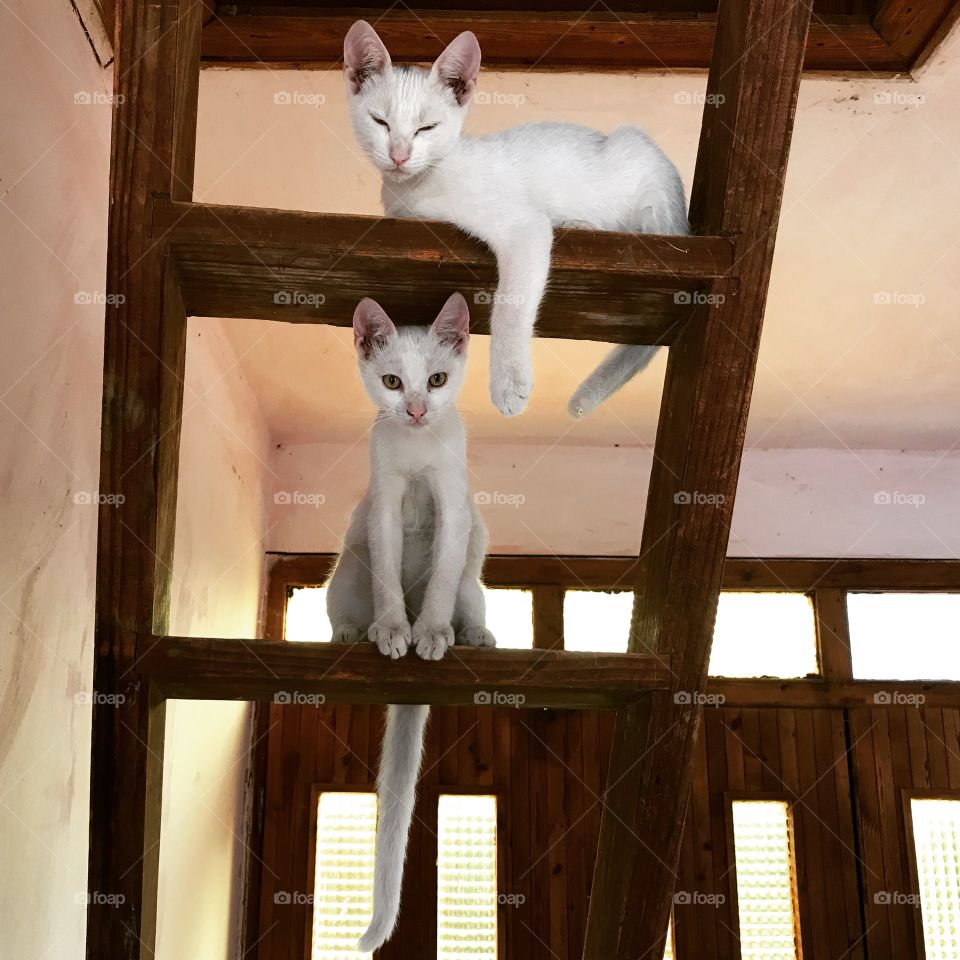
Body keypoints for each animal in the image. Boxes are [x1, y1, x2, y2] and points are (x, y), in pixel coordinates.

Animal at [328, 292, 498, 952]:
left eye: (439, 379)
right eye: (393, 382)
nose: (419, 411)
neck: (420, 452)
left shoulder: (453, 502)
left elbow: (444, 573)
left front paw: (429, 633)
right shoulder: (384, 503)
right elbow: (387, 574)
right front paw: (395, 630)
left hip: (478, 559)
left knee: (468, 590)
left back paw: (473, 634)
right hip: (345, 567)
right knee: (348, 599)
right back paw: (353, 633)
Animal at [342, 20, 688, 418]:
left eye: (426, 127)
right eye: (380, 122)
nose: (399, 155)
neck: (418, 187)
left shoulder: (525, 227)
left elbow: (511, 304)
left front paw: (509, 382)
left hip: (648, 180)